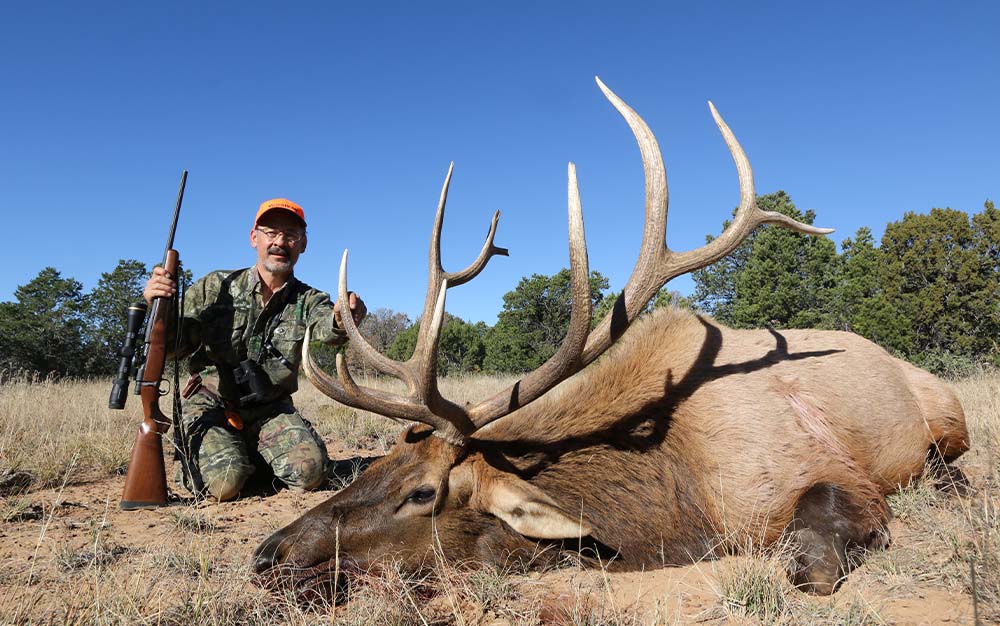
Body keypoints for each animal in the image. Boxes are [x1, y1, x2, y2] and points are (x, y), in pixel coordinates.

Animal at [252, 78, 969, 597]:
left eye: (422, 494)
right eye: (374, 465)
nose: (268, 553)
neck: (681, 501)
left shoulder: (831, 471)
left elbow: (813, 561)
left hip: (947, 409)